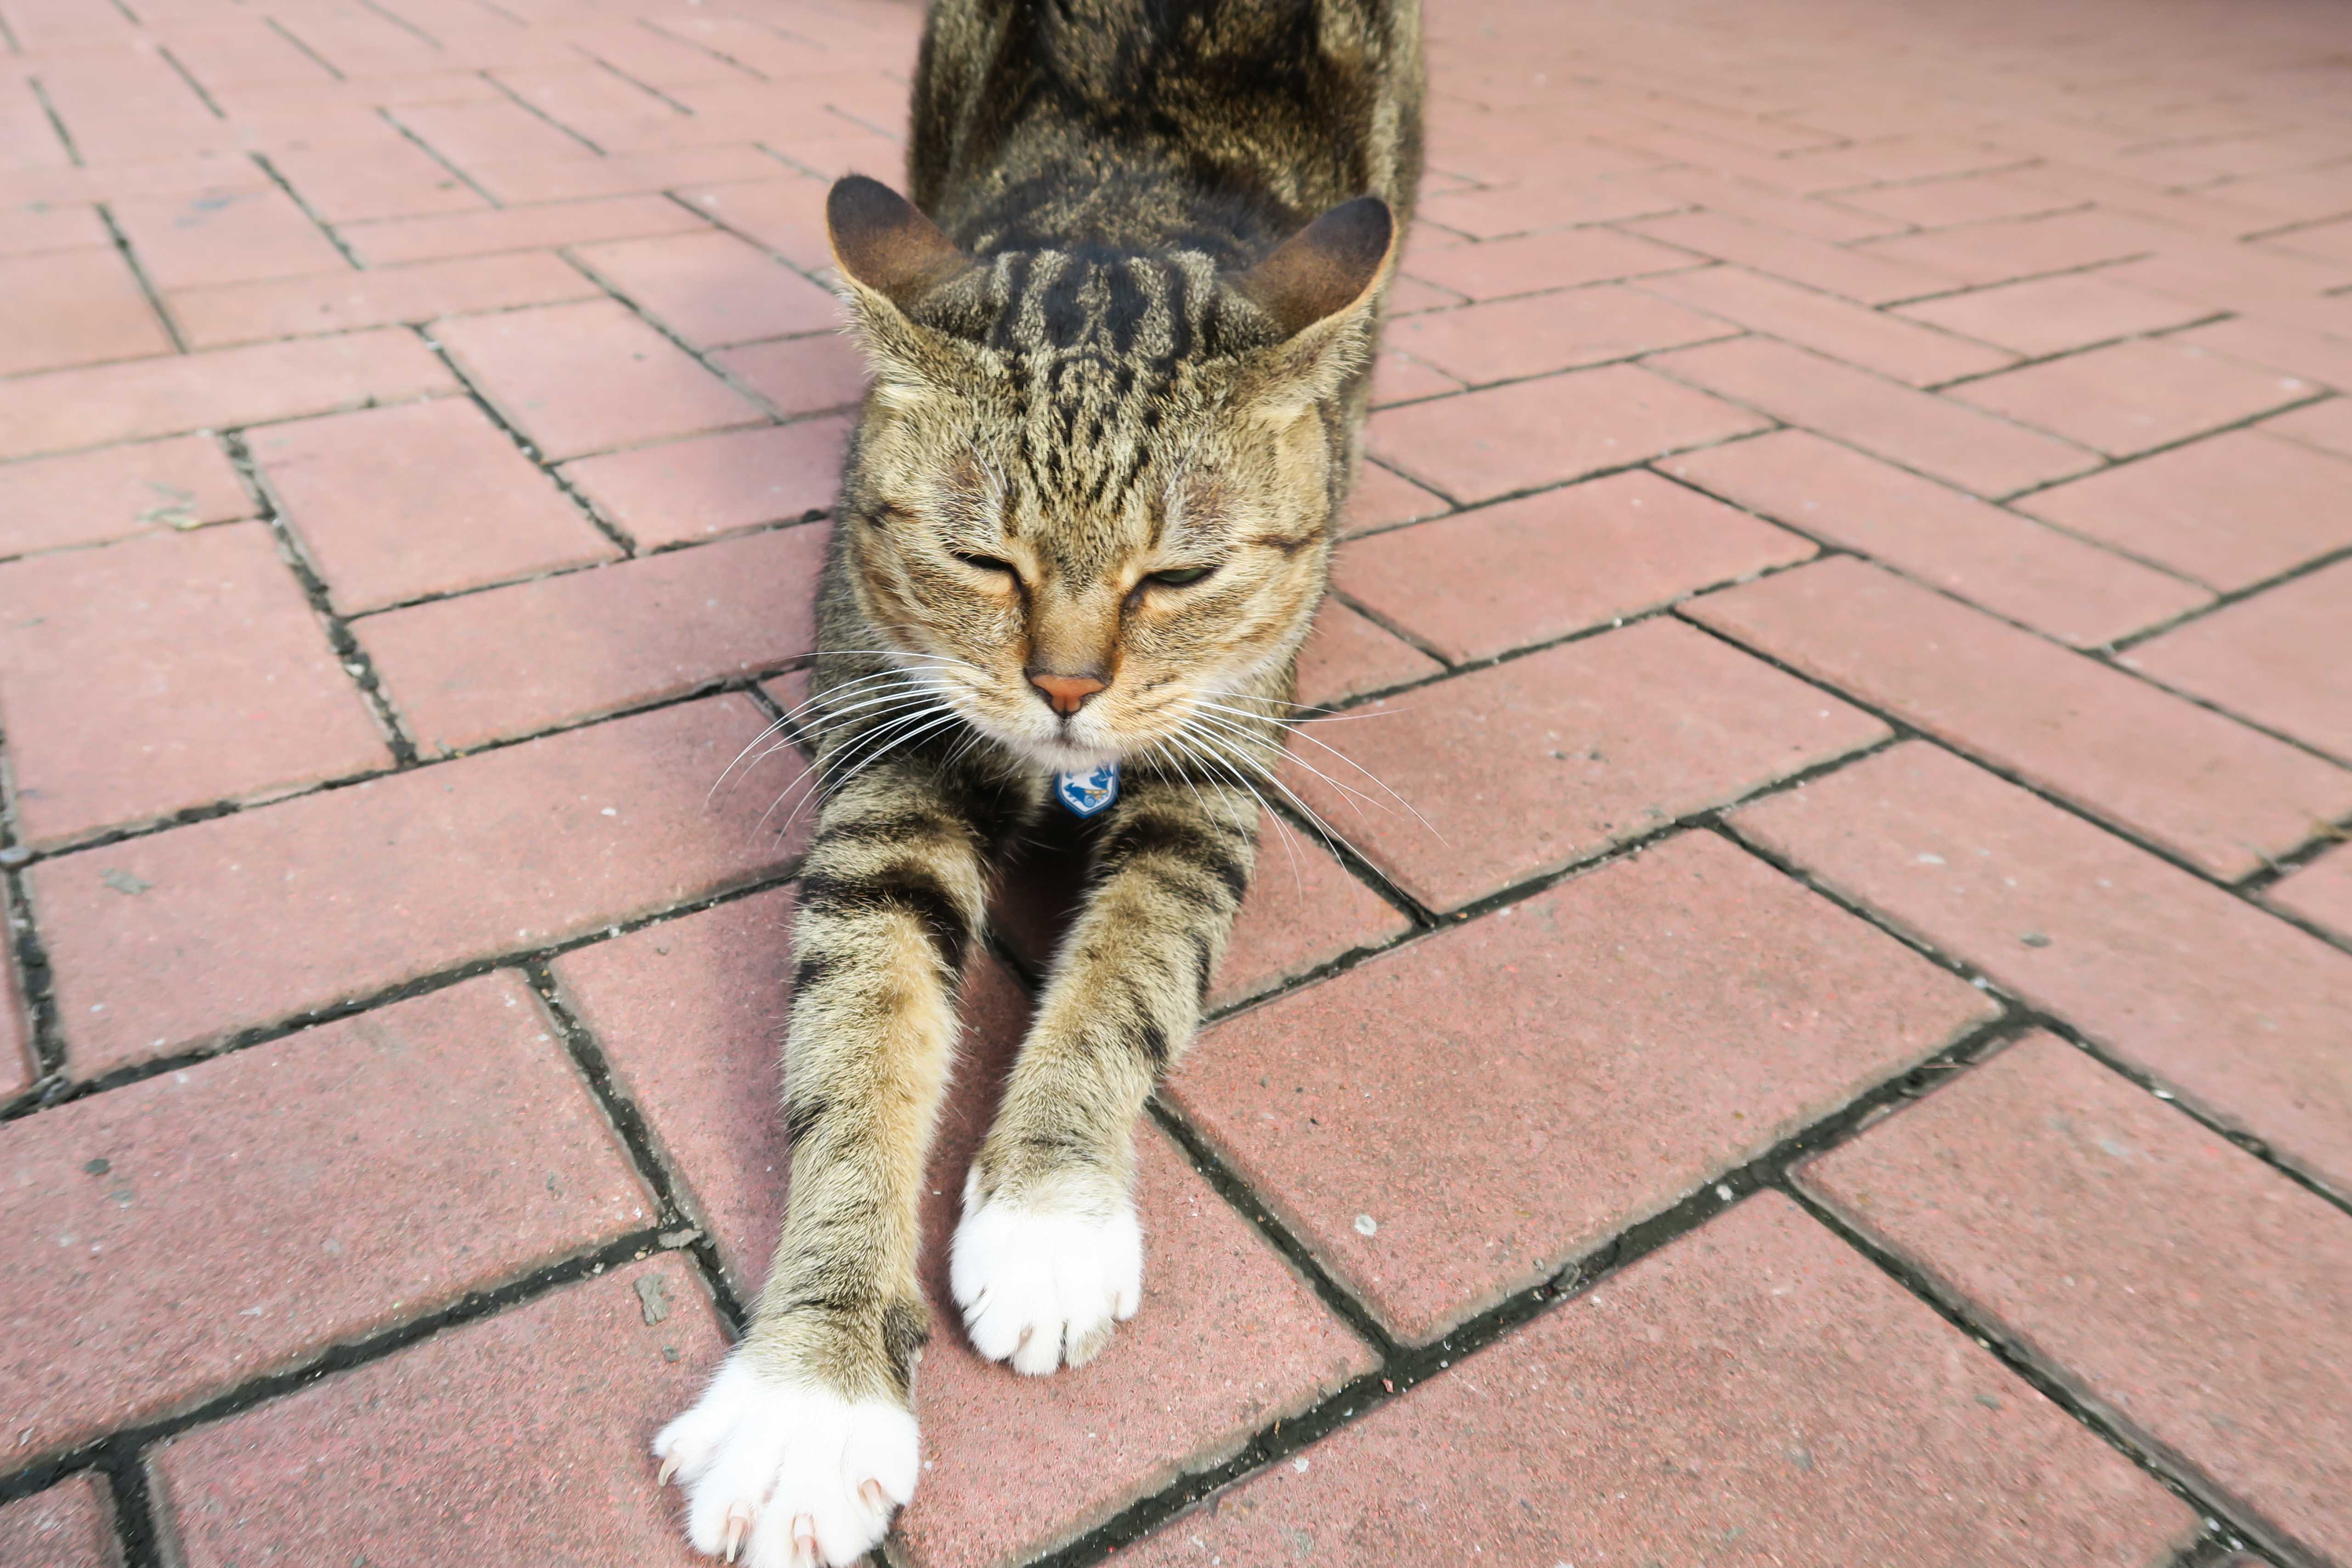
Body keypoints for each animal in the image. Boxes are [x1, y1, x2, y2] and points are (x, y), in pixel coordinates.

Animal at [654, 6, 1420, 1561]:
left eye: (1179, 573)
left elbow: (1127, 976)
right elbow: (857, 1043)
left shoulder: (1210, 781)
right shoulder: (888, 765)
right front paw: (810, 1391)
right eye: (980, 560)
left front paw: (1050, 1218)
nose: (1065, 688)